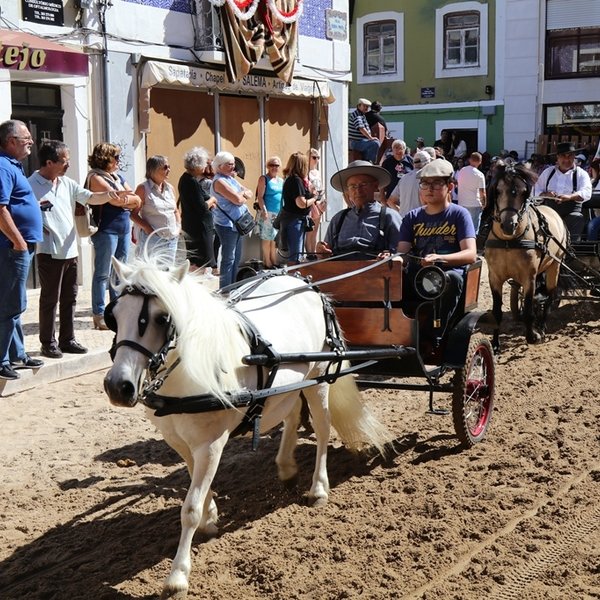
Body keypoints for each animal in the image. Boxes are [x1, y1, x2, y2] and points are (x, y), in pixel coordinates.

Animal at [105, 258, 392, 600]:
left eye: (162, 318)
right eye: (114, 315)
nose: (118, 387)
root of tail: (307, 284)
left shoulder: (211, 443)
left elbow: (189, 508)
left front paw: (178, 575)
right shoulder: (181, 442)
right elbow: (198, 487)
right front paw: (211, 517)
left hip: (319, 377)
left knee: (322, 430)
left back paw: (319, 488)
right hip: (287, 385)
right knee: (291, 415)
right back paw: (286, 467)